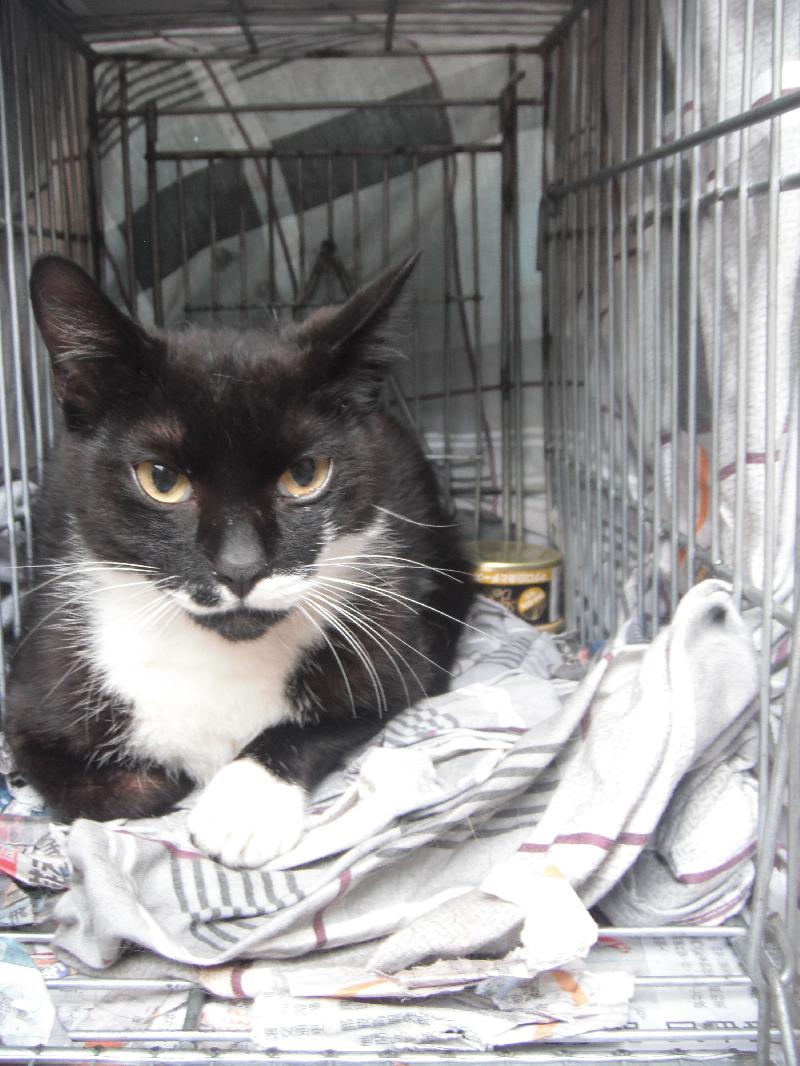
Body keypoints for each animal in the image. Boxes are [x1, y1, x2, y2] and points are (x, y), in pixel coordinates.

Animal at [4, 253, 474, 868]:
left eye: (305, 474)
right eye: (161, 479)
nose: (241, 568)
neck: (217, 657)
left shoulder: (397, 651)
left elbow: (337, 717)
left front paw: (244, 805)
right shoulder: (36, 686)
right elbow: (102, 785)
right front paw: (171, 782)